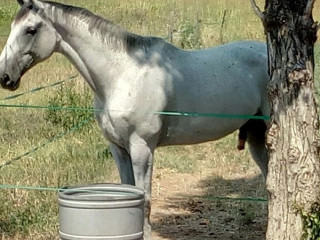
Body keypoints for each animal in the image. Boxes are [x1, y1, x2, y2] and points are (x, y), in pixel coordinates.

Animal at [0, 0, 270, 239]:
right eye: (13, 27)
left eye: (31, 29)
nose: (4, 77)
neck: (123, 74)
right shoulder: (118, 148)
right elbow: (128, 190)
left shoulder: (142, 148)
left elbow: (146, 201)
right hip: (257, 138)